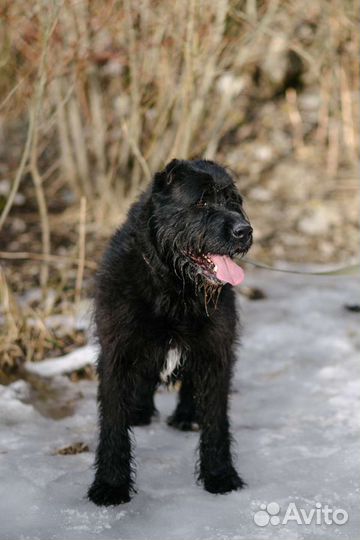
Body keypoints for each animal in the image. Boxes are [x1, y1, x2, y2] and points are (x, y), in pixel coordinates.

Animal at [87, 159, 253, 506]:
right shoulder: (116, 354)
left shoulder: (216, 353)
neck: (174, 288)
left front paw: (219, 475)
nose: (245, 231)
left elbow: (216, 421)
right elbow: (113, 424)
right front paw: (110, 484)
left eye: (234, 201)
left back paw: (187, 415)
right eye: (201, 202)